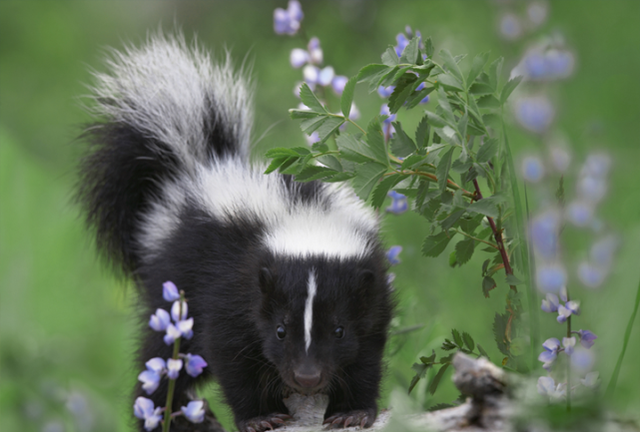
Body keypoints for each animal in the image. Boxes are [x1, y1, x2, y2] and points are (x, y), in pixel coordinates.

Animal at [77, 33, 392, 432]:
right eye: (280, 330)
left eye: (339, 331)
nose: (306, 378)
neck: (305, 215)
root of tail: (197, 170)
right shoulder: (231, 280)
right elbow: (229, 351)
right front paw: (259, 417)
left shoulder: (373, 288)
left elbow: (368, 351)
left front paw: (353, 411)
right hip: (175, 287)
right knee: (164, 358)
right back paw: (172, 415)